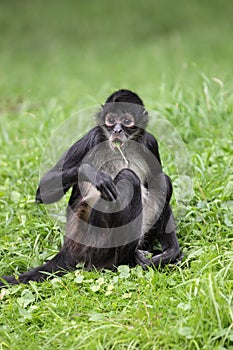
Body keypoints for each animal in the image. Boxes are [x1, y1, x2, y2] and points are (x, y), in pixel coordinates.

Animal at [0, 88, 182, 288]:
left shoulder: (150, 142)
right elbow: (43, 191)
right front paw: (90, 173)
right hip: (96, 245)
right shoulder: (93, 136)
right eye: (111, 120)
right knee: (128, 178)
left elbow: (158, 178)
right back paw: (127, 260)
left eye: (126, 122)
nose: (117, 130)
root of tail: (69, 248)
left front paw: (171, 251)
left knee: (162, 180)